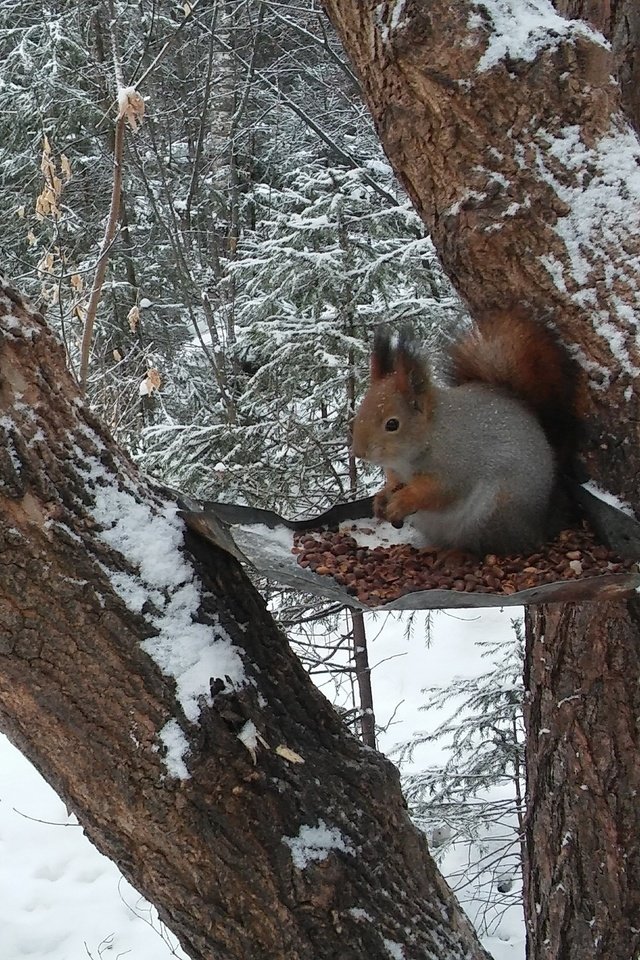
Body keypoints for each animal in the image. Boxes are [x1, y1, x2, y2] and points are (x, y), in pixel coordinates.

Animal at [350, 310, 580, 556]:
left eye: (392, 424)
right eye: (361, 409)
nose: (360, 452)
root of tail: (538, 525)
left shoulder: (456, 466)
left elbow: (437, 492)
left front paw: (404, 500)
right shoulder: (395, 471)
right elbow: (393, 484)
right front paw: (382, 497)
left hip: (496, 510)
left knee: (488, 545)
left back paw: (454, 554)